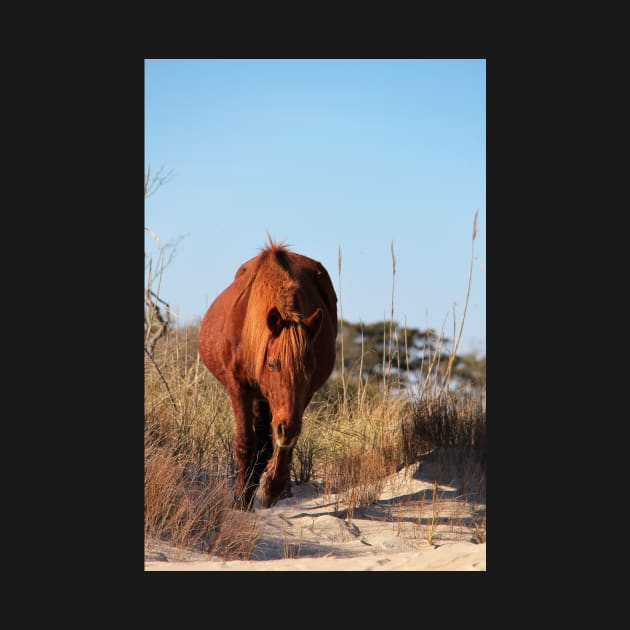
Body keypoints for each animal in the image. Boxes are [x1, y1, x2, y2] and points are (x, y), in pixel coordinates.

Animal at [200, 239, 338, 512]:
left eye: (309, 369)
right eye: (273, 365)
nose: (287, 427)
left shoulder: (301, 398)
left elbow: (283, 443)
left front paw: (271, 488)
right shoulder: (239, 388)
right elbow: (246, 443)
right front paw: (241, 499)